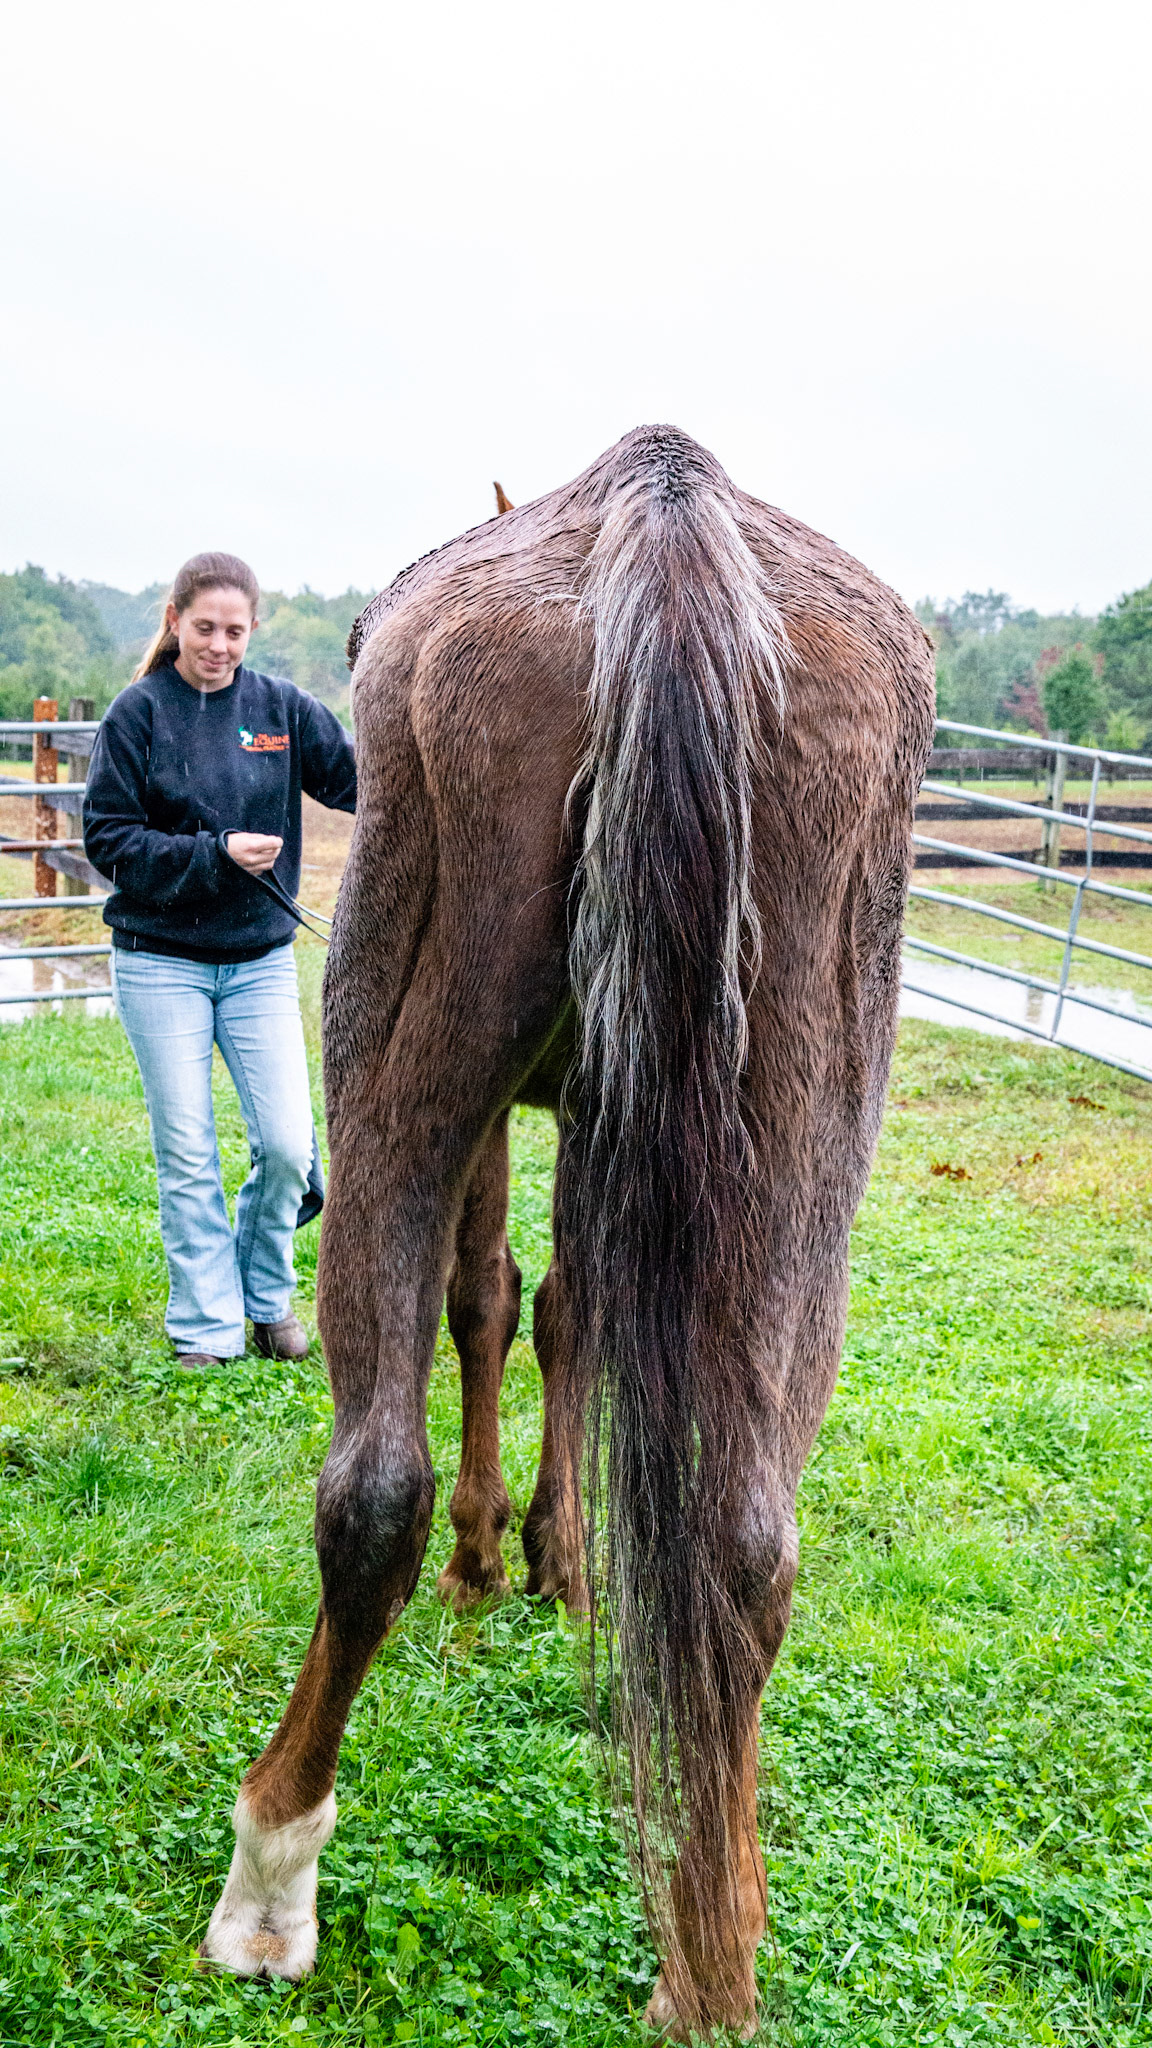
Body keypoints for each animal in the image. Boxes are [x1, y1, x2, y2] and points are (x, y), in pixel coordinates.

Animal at [199, 425, 936, 2037]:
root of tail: (662, 513)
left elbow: (485, 1298)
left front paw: (499, 1555)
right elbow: (567, 1311)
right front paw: (561, 1555)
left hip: (398, 1052)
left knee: (374, 1488)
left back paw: (272, 1871)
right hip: (807, 1146)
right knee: (747, 1544)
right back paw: (713, 1944)